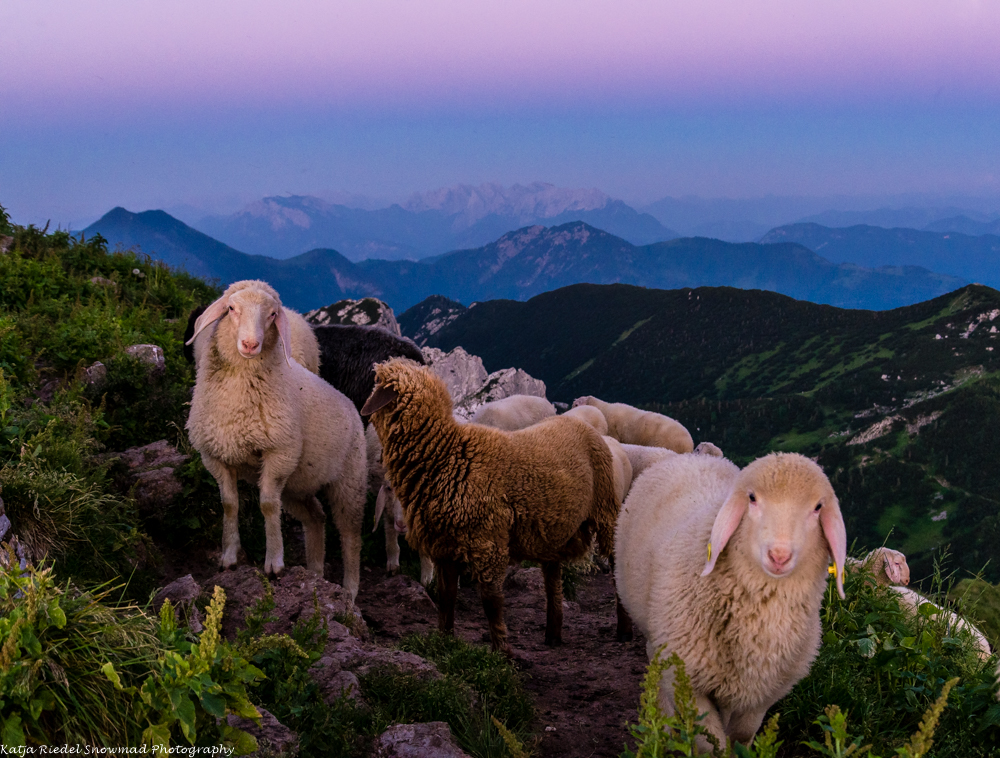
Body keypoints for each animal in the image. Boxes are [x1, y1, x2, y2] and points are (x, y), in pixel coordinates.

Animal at [185, 282, 368, 596]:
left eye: (272, 314)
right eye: (231, 308)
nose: (250, 345)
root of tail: (352, 407)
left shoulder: (280, 453)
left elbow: (268, 505)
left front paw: (274, 563)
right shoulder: (215, 455)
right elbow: (229, 503)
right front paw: (229, 557)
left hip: (350, 481)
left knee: (351, 536)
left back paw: (350, 590)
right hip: (298, 484)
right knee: (316, 517)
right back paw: (315, 572)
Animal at [364, 360, 620, 656]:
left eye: (376, 383)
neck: (446, 454)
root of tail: (579, 423)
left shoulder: (489, 543)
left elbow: (491, 601)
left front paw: (501, 653)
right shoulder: (444, 546)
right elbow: (446, 597)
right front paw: (445, 641)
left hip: (604, 510)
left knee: (616, 564)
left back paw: (624, 629)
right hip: (551, 529)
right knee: (553, 579)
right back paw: (553, 634)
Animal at [616, 452, 844, 748]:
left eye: (817, 507)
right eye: (752, 498)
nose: (779, 556)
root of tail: (690, 456)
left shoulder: (763, 693)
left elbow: (741, 735)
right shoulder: (688, 682)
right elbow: (709, 743)